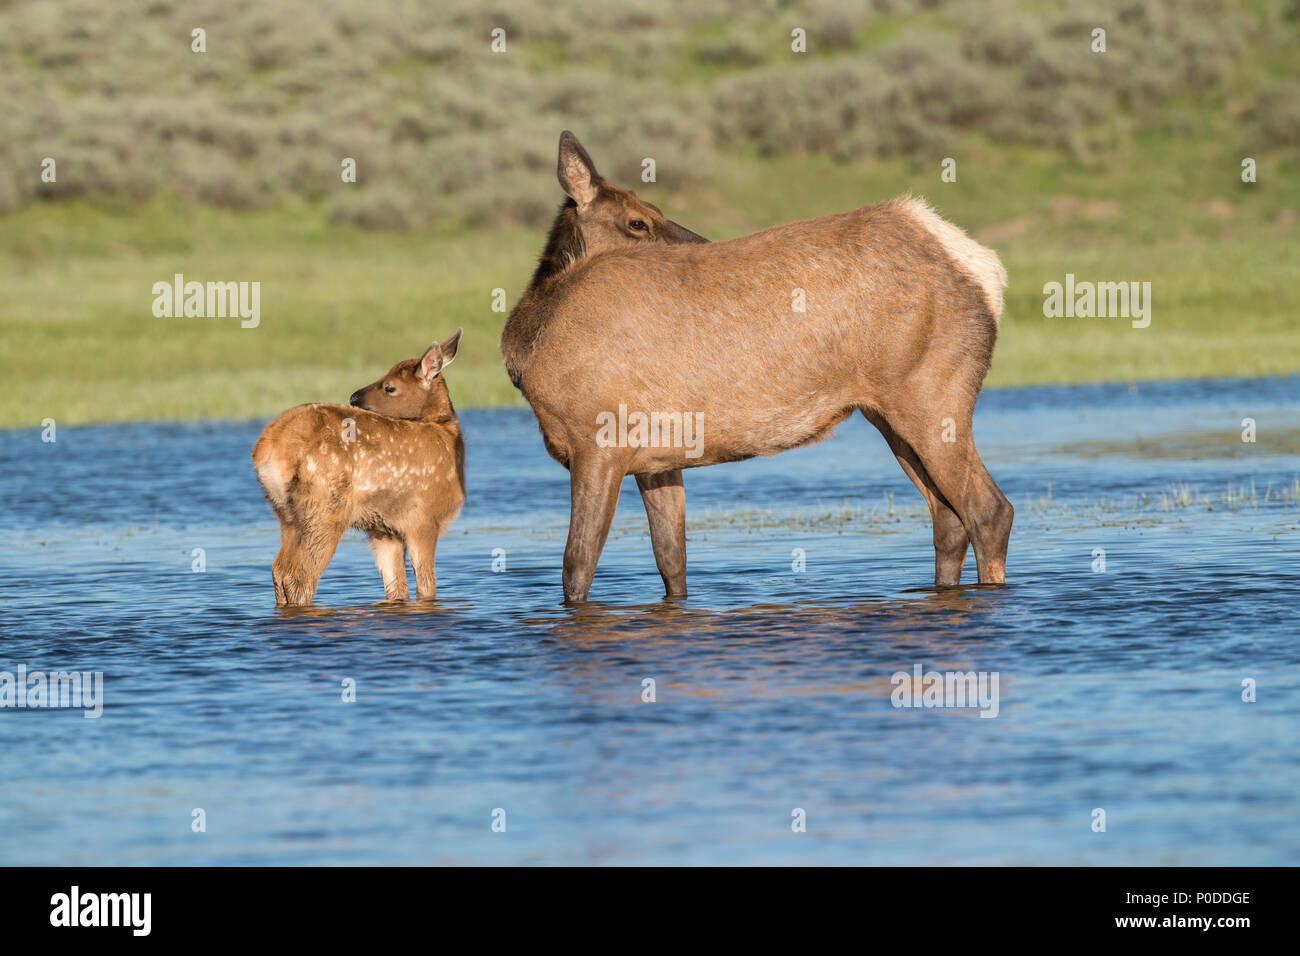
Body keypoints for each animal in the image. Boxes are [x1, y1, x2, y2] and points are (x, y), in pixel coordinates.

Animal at [250, 330, 465, 606]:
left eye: (389, 386)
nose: (353, 397)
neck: (445, 436)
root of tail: (267, 449)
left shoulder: (384, 530)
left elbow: (397, 588)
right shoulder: (425, 517)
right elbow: (427, 588)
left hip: (287, 514)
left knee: (278, 570)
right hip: (326, 506)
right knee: (299, 575)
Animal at [501, 132, 1008, 600]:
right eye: (638, 221)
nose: (705, 245)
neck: (532, 344)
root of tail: (984, 268)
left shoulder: (599, 438)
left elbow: (577, 564)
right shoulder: (655, 459)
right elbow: (672, 562)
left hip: (933, 395)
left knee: (988, 511)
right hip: (888, 413)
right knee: (948, 518)